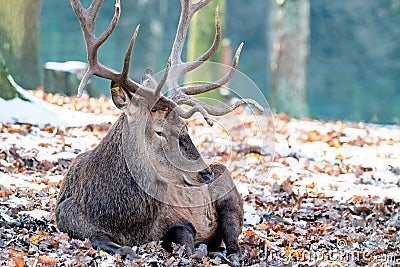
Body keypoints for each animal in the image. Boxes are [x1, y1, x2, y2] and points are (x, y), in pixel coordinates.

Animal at [55, 0, 262, 264]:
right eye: (159, 132)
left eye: (185, 127)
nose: (205, 174)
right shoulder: (67, 218)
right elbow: (105, 242)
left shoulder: (176, 218)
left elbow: (186, 242)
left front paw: (199, 248)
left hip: (230, 195)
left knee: (234, 241)